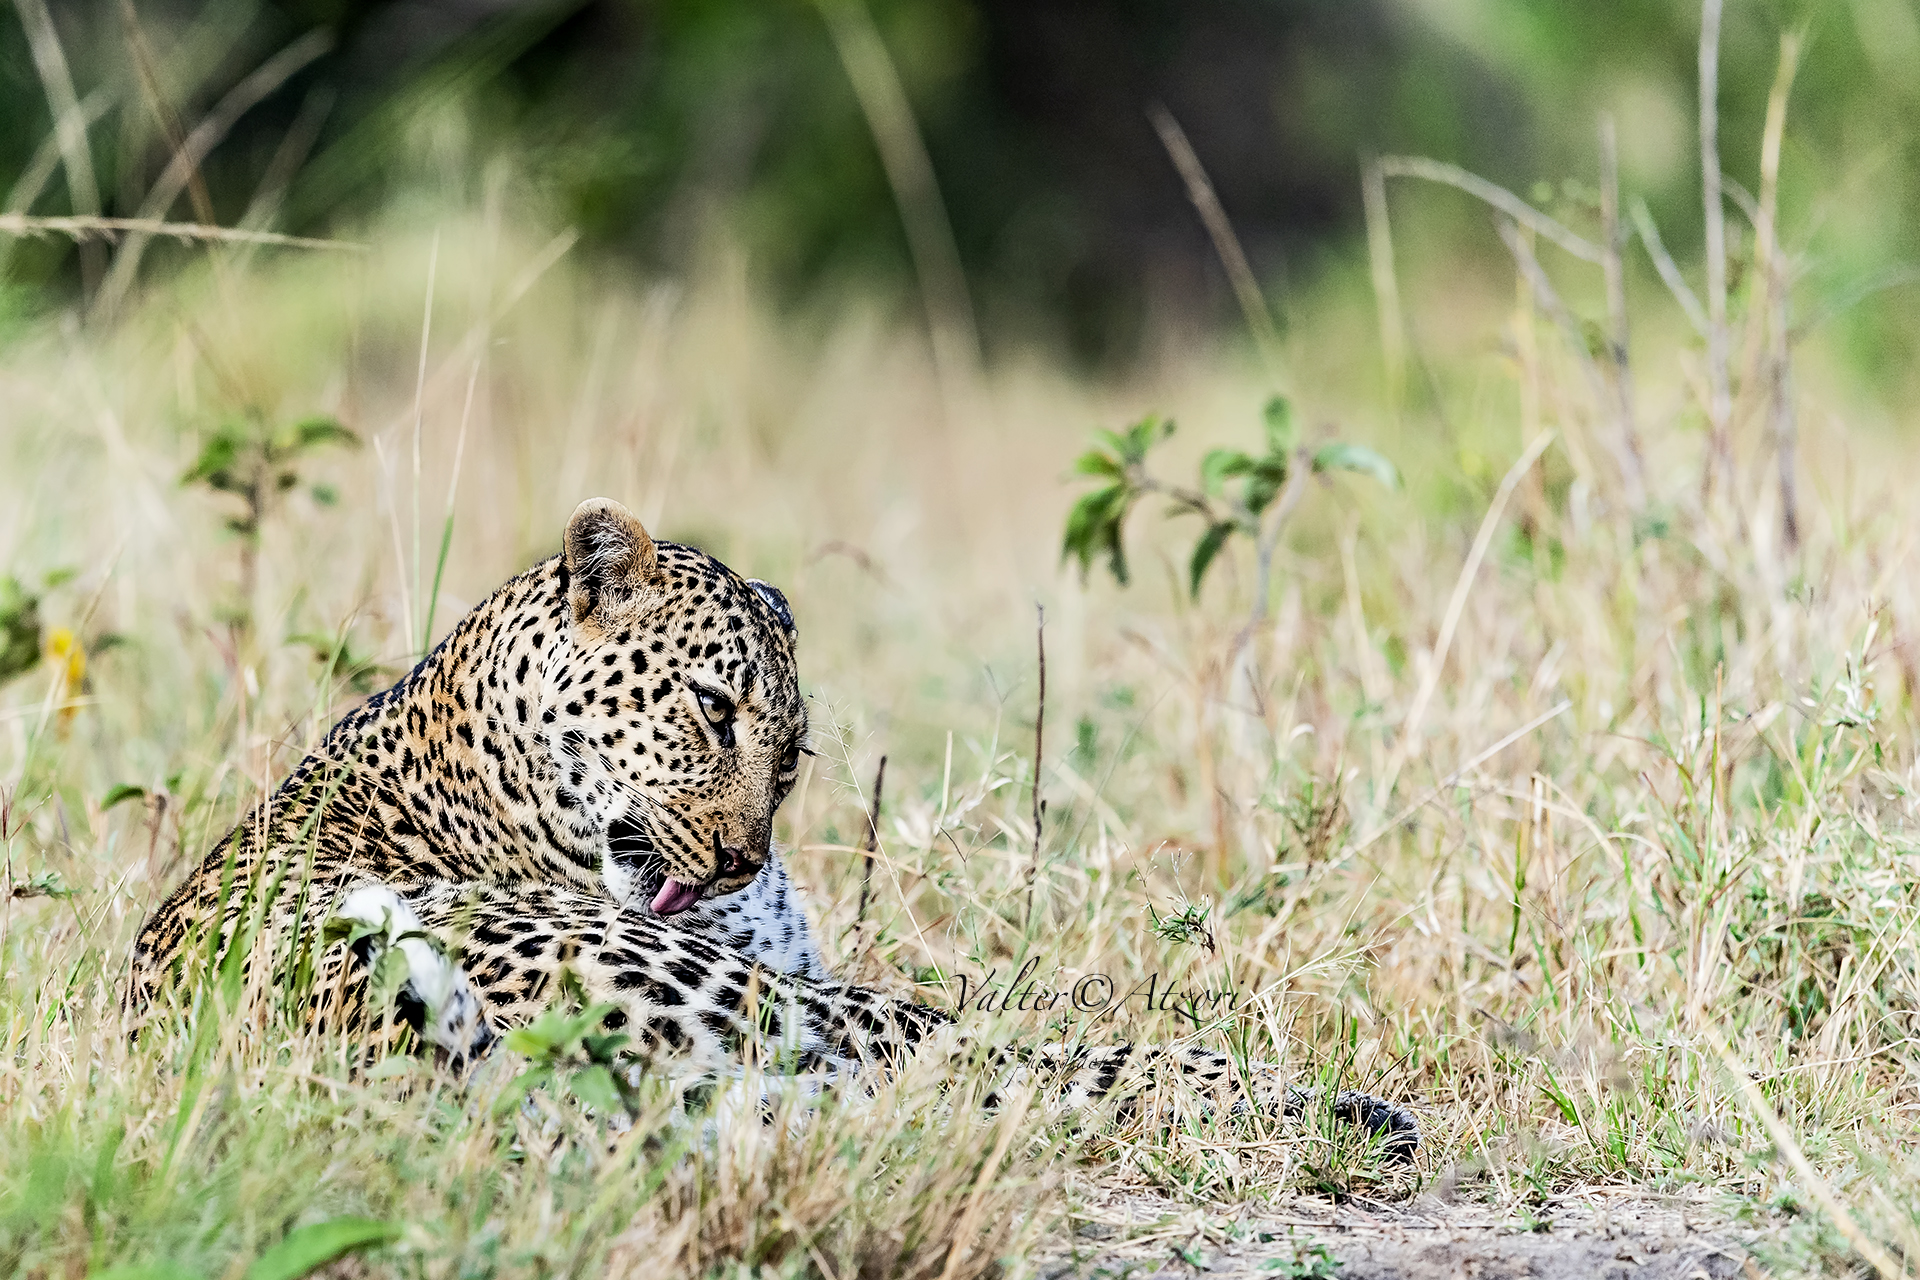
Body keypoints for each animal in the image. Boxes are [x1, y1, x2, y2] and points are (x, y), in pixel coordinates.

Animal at [130, 497, 1419, 1160]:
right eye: (713, 708)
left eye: (792, 753)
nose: (741, 861)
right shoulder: (788, 983)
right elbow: (980, 1038)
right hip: (732, 1004)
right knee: (970, 1070)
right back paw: (1326, 1101)